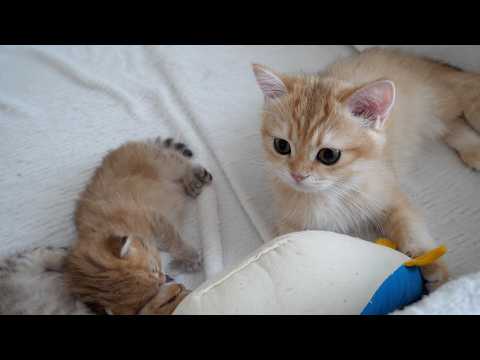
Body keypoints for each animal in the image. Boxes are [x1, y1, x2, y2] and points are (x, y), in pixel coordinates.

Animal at [65, 138, 212, 316]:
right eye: (152, 294)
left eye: (154, 269)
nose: (164, 278)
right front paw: (184, 264)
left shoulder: (155, 219)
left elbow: (173, 240)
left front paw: (189, 255)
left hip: (162, 163)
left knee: (181, 161)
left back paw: (193, 177)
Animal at [251, 47, 480, 292]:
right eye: (281, 146)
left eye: (328, 155)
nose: (297, 175)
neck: (332, 193)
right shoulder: (291, 221)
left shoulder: (390, 195)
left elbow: (410, 226)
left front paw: (431, 263)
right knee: (453, 126)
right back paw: (474, 151)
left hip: (451, 98)